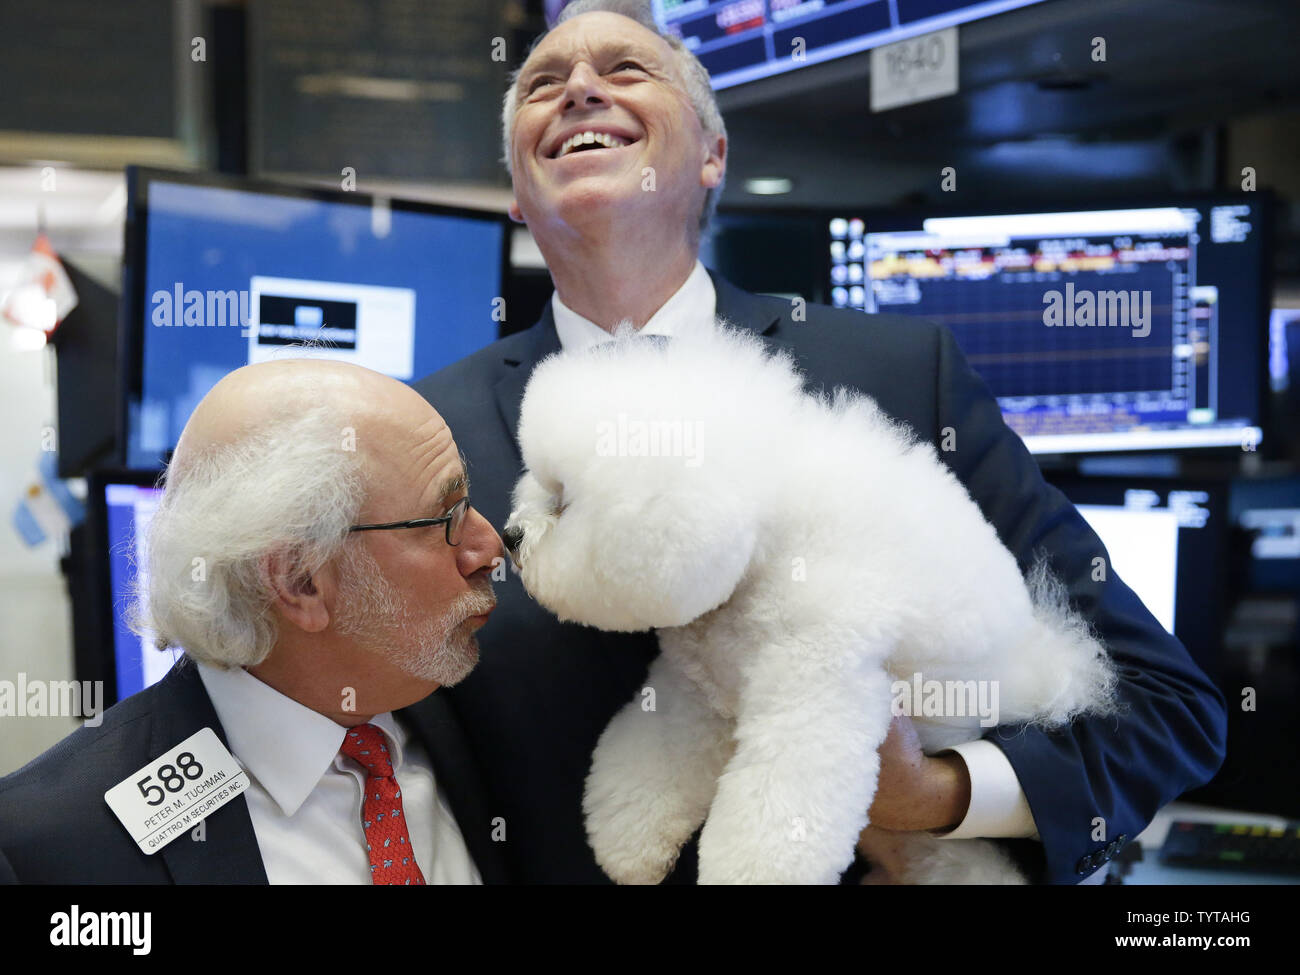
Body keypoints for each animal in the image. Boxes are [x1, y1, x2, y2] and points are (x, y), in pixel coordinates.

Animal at [501, 326, 1123, 883]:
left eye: (567, 501)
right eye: (539, 483)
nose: (510, 536)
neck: (760, 545)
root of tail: (1051, 669)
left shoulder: (817, 685)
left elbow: (780, 801)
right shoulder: (697, 688)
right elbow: (656, 759)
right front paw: (629, 843)